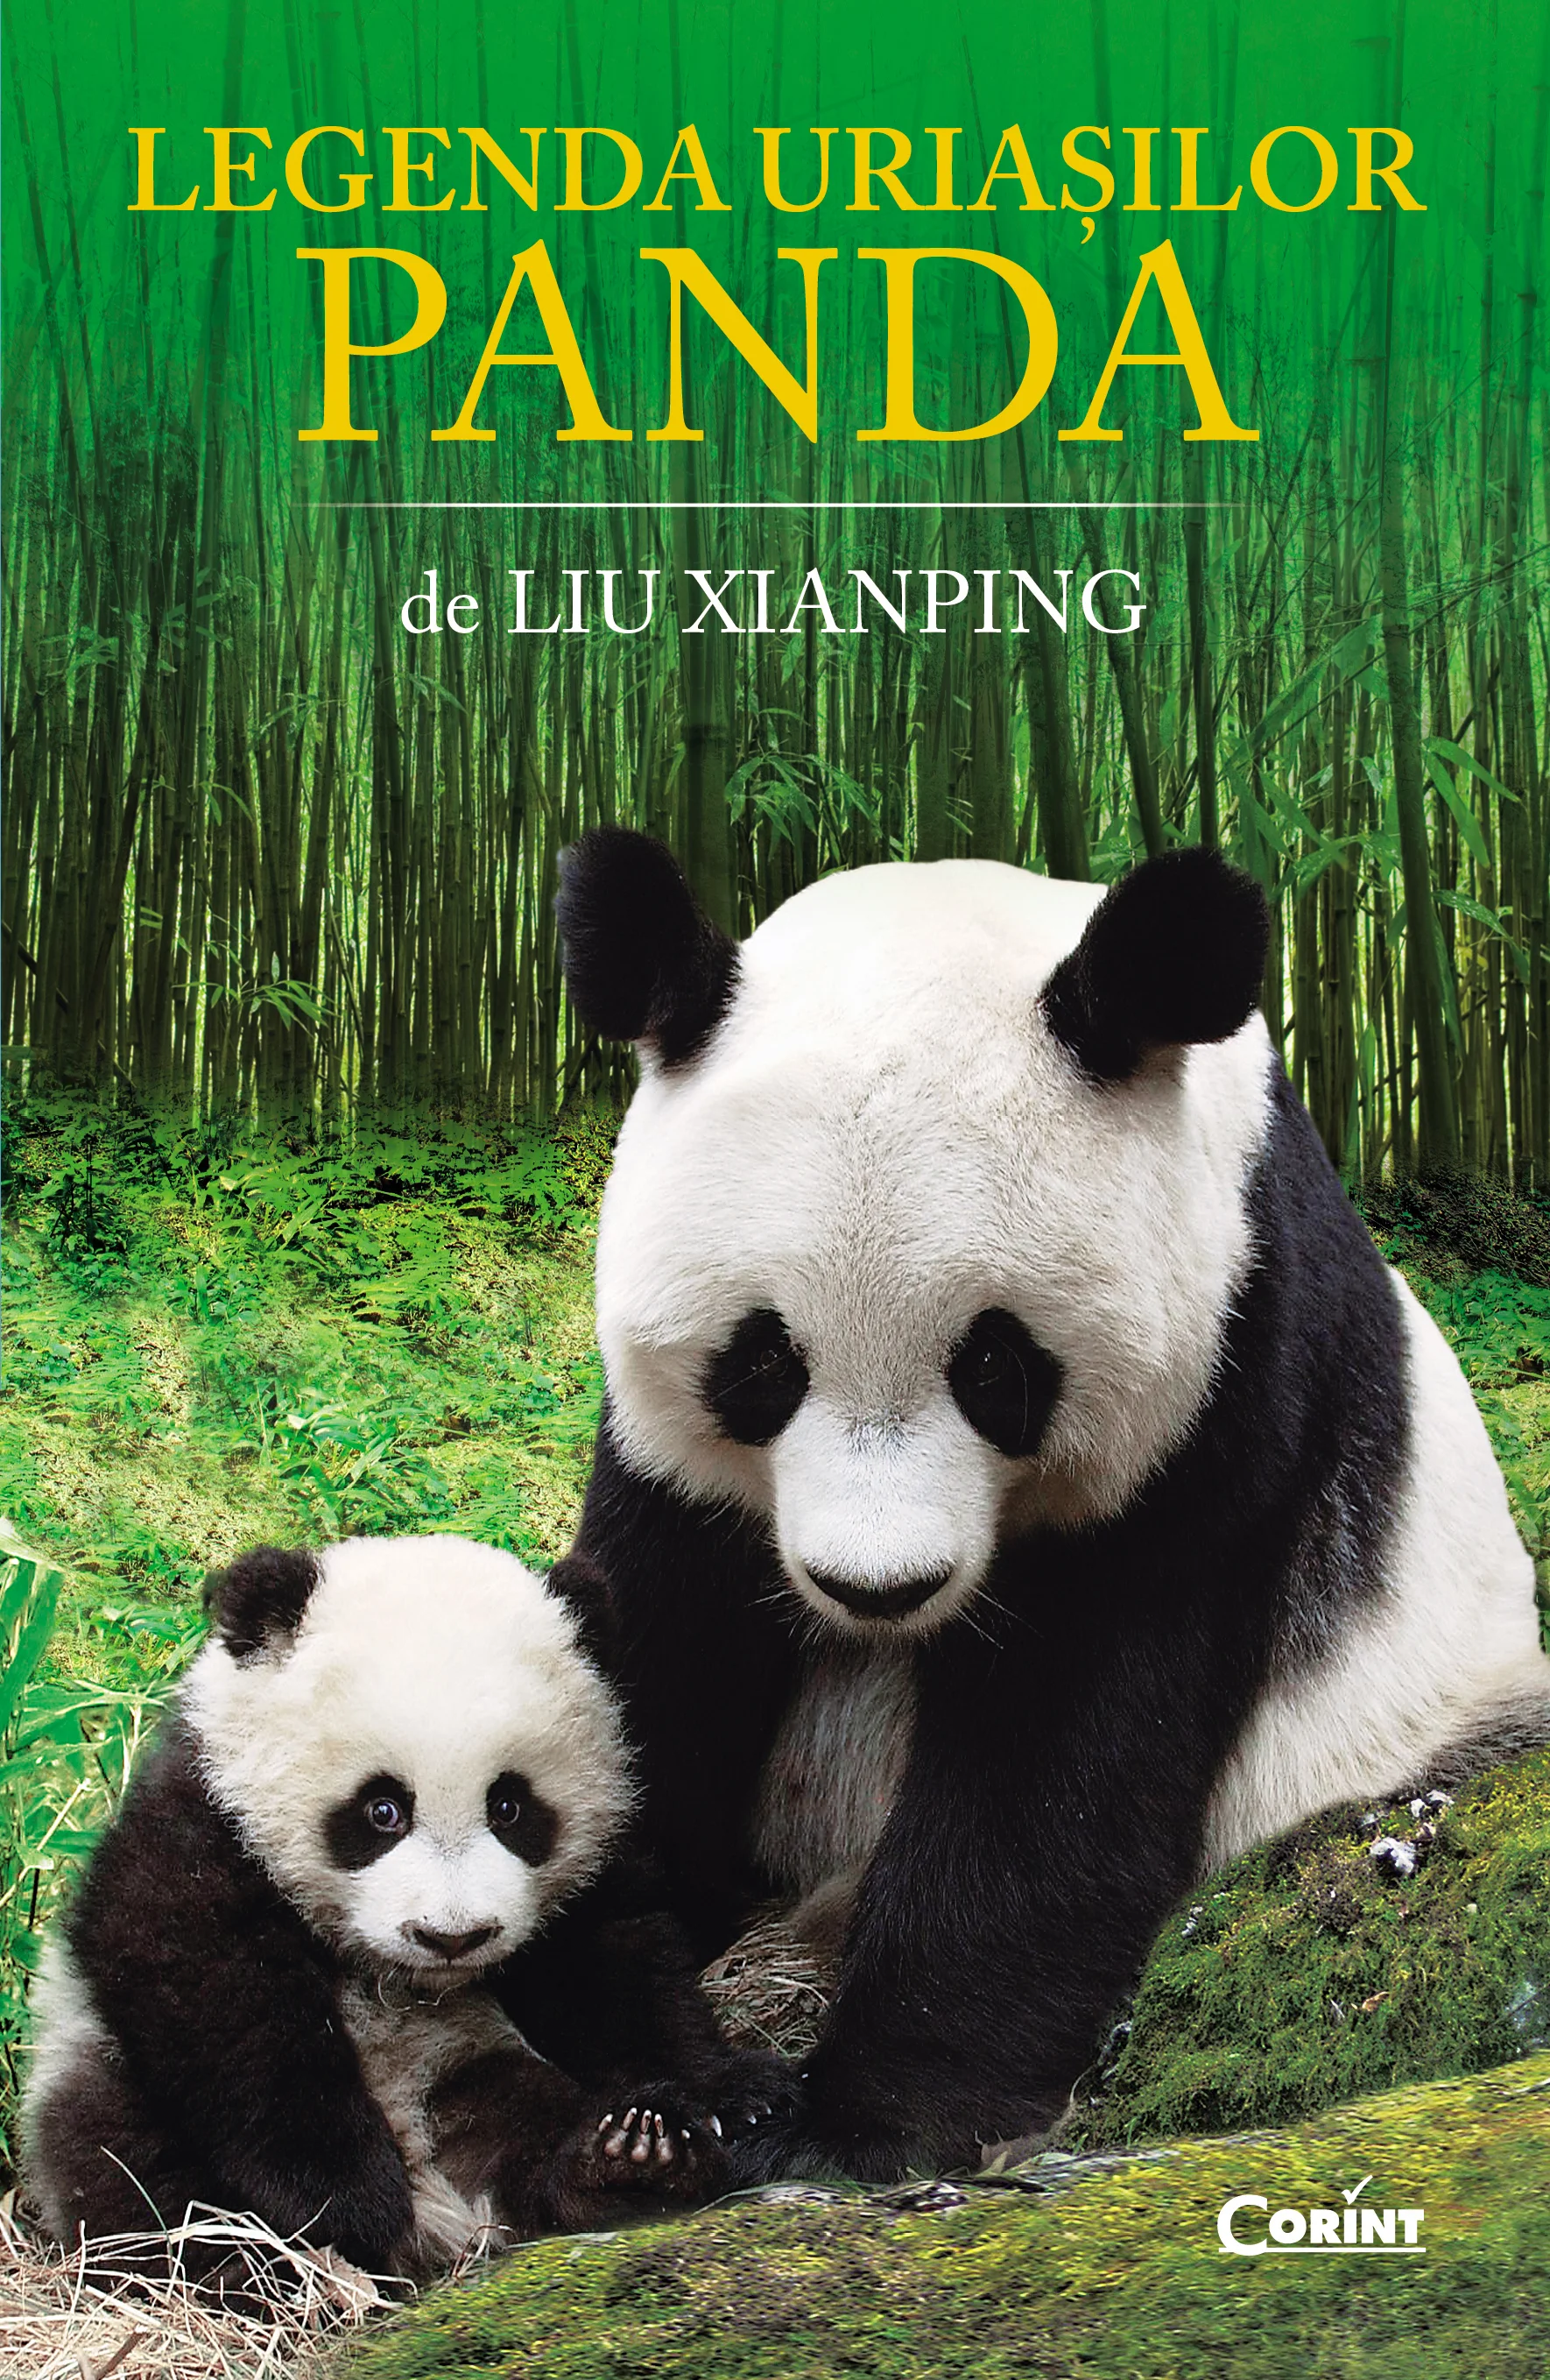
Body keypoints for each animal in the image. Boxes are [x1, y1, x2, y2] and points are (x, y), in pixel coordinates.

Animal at [23, 1533, 780, 2279]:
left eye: (509, 1806)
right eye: (381, 1809)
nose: (452, 1935)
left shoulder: (592, 1867)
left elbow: (620, 1972)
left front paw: (726, 2098)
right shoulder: (201, 1819)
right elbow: (211, 1990)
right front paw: (346, 2194)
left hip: (468, 2067)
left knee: (527, 2119)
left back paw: (625, 2159)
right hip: (97, 2070)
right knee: (138, 2172)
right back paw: (258, 2270)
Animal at [555, 827, 1550, 2185]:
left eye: (995, 1367)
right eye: (760, 1365)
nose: (879, 1589)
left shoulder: (1227, 1370)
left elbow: (1065, 1750)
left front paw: (861, 2122)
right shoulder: (674, 1468)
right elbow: (651, 1652)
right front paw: (660, 2070)